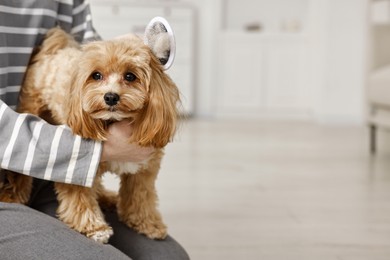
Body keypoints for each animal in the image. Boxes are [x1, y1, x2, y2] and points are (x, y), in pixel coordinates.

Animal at [0, 27, 180, 243]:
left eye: (130, 76)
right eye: (96, 75)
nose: (110, 97)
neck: (115, 121)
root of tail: (53, 51)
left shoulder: (144, 170)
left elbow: (141, 197)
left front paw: (147, 223)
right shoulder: (76, 163)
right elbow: (79, 195)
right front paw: (94, 227)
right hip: (31, 107)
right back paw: (12, 194)